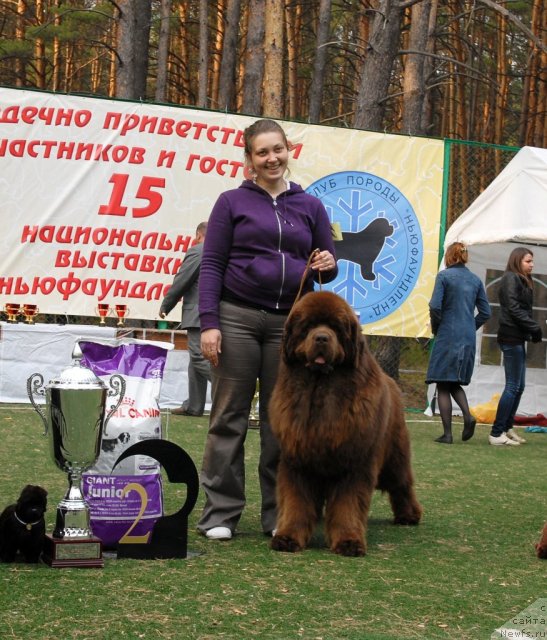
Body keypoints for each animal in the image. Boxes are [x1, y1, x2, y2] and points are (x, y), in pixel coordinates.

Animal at [270, 290, 424, 556]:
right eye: (308, 326)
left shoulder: (355, 461)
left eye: (335, 327)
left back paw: (409, 515)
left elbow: (347, 504)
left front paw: (349, 541)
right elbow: (296, 501)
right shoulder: (296, 459)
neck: (320, 388)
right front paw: (287, 537)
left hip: (394, 454)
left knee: (401, 483)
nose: (322, 338)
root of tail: (391, 381)